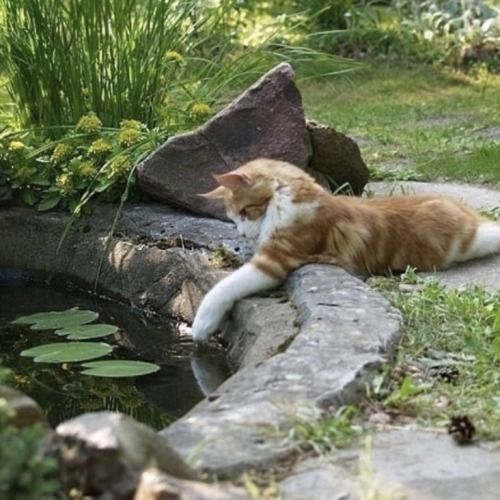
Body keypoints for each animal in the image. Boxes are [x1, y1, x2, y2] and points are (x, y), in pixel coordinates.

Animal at [190, 158, 500, 342]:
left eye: (244, 212)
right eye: (233, 218)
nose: (242, 233)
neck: (289, 198)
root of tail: (467, 214)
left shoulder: (275, 259)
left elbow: (223, 287)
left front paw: (201, 324)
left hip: (466, 240)